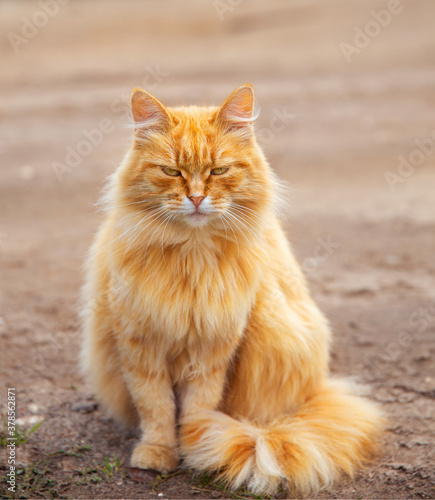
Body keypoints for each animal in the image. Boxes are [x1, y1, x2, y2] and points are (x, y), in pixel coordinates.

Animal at [82, 84, 384, 494]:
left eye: (218, 170)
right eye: (171, 171)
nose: (195, 198)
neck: (191, 257)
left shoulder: (212, 349)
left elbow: (197, 408)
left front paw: (196, 446)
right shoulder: (140, 346)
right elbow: (156, 407)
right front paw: (159, 452)